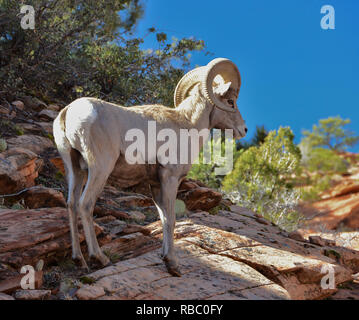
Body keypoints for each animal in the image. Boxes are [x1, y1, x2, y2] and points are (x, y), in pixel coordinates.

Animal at [53, 57, 248, 276]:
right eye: (231, 102)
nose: (244, 129)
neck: (186, 126)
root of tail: (68, 113)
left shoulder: (155, 184)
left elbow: (163, 218)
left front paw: (165, 257)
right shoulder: (170, 179)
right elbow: (171, 219)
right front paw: (173, 265)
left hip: (74, 168)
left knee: (71, 204)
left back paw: (79, 260)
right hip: (100, 168)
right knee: (85, 204)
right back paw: (99, 258)